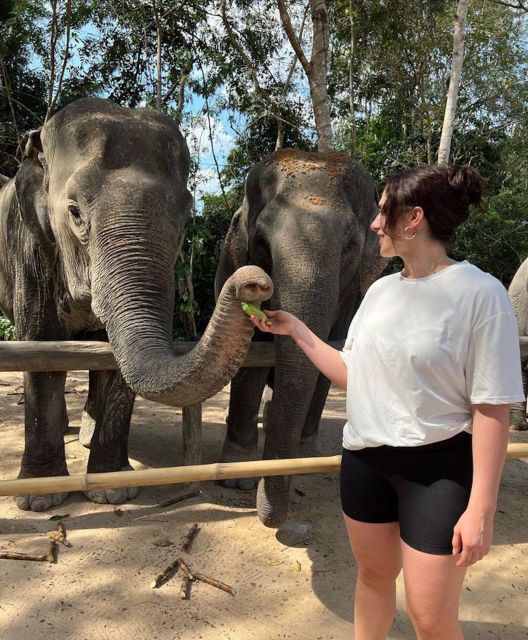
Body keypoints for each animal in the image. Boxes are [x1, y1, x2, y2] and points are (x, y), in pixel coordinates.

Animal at [0, 97, 272, 512]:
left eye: (186, 219)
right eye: (74, 212)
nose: (253, 282)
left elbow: (111, 363)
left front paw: (113, 491)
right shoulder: (29, 247)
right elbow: (40, 350)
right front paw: (39, 499)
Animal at [213, 149, 384, 524]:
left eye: (350, 246)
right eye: (261, 242)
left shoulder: (350, 298)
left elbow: (329, 358)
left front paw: (305, 460)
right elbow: (251, 361)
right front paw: (238, 479)